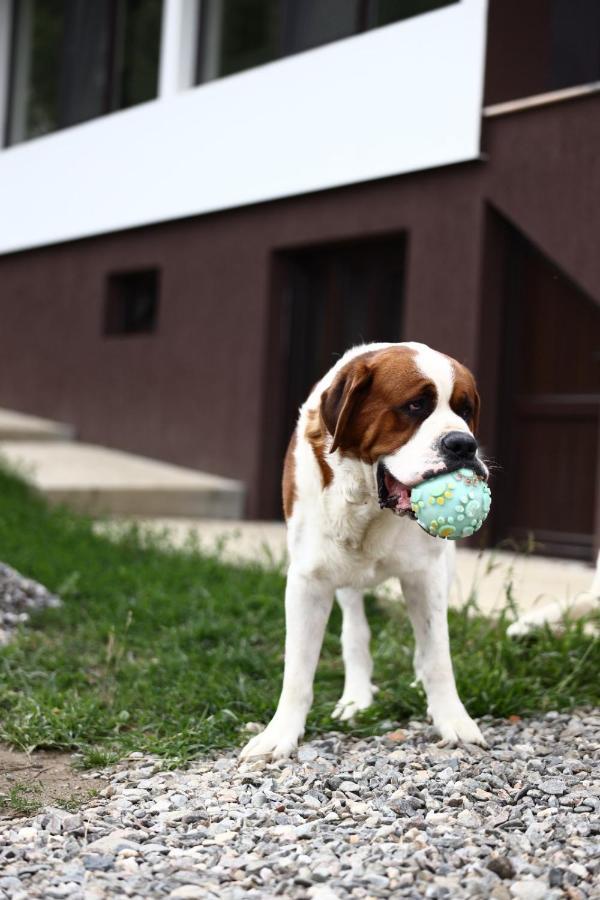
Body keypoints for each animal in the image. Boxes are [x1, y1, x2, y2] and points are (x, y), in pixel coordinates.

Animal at [241, 342, 490, 760]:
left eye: (465, 410)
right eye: (415, 406)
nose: (463, 444)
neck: (369, 503)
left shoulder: (426, 573)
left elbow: (438, 655)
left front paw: (454, 721)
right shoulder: (308, 579)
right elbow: (298, 669)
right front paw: (280, 734)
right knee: (355, 631)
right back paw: (356, 698)